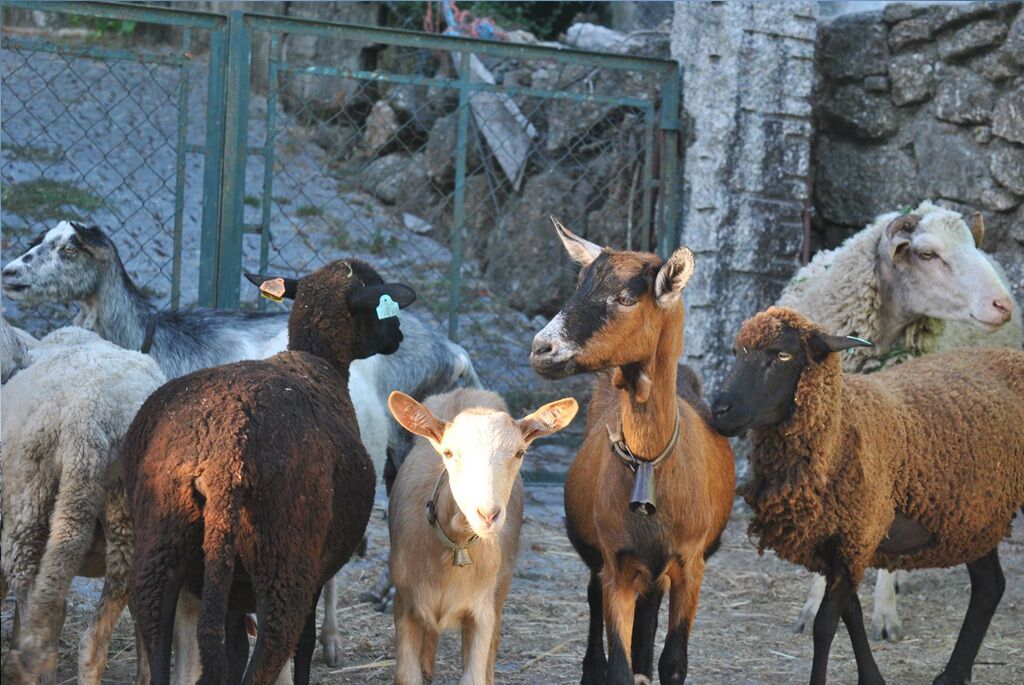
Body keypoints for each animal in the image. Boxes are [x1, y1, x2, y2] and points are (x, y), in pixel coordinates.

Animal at [123, 259, 414, 685]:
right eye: (380, 300)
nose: (399, 335)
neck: (318, 360)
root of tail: (221, 463)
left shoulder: (231, 591)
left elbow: (232, 647)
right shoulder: (313, 571)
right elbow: (303, 645)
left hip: (159, 555)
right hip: (283, 565)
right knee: (272, 650)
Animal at [386, 388, 578, 685]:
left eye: (519, 452)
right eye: (448, 452)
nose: (488, 514)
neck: (456, 546)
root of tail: (466, 391)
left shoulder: (480, 612)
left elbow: (473, 674)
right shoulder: (406, 605)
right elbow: (408, 675)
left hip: (502, 582)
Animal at [530, 219, 735, 684]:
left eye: (626, 298)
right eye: (579, 286)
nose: (541, 349)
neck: (649, 464)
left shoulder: (690, 565)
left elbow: (674, 663)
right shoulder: (617, 565)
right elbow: (617, 668)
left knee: (651, 610)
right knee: (595, 604)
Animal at [710, 306, 1024, 685]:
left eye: (783, 355)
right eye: (736, 352)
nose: (719, 409)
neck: (841, 429)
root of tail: (1013, 355)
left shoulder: (857, 536)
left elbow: (825, 625)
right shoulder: (833, 544)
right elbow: (851, 615)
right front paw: (872, 677)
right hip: (973, 515)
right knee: (989, 586)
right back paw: (953, 674)